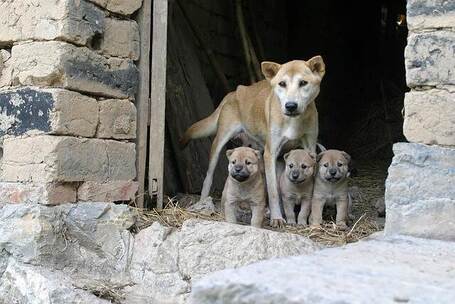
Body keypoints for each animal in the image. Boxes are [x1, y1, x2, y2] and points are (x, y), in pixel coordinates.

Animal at [180, 57, 326, 228]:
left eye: (303, 83)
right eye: (282, 84)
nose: (290, 106)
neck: (293, 121)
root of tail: (234, 92)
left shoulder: (309, 147)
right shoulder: (271, 153)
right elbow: (273, 191)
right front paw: (277, 218)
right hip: (219, 143)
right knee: (208, 177)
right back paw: (203, 201)